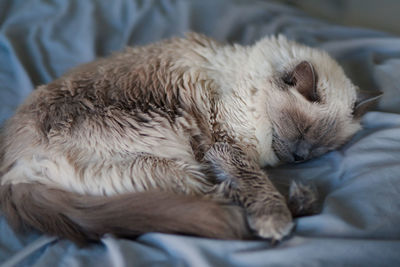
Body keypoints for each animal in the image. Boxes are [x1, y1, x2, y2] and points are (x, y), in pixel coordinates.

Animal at [0, 32, 382, 244]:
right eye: (299, 131)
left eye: (320, 148)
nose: (300, 158)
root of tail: (13, 175)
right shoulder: (227, 144)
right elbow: (256, 181)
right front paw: (273, 220)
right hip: (171, 157)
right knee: (215, 201)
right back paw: (288, 208)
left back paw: (301, 197)